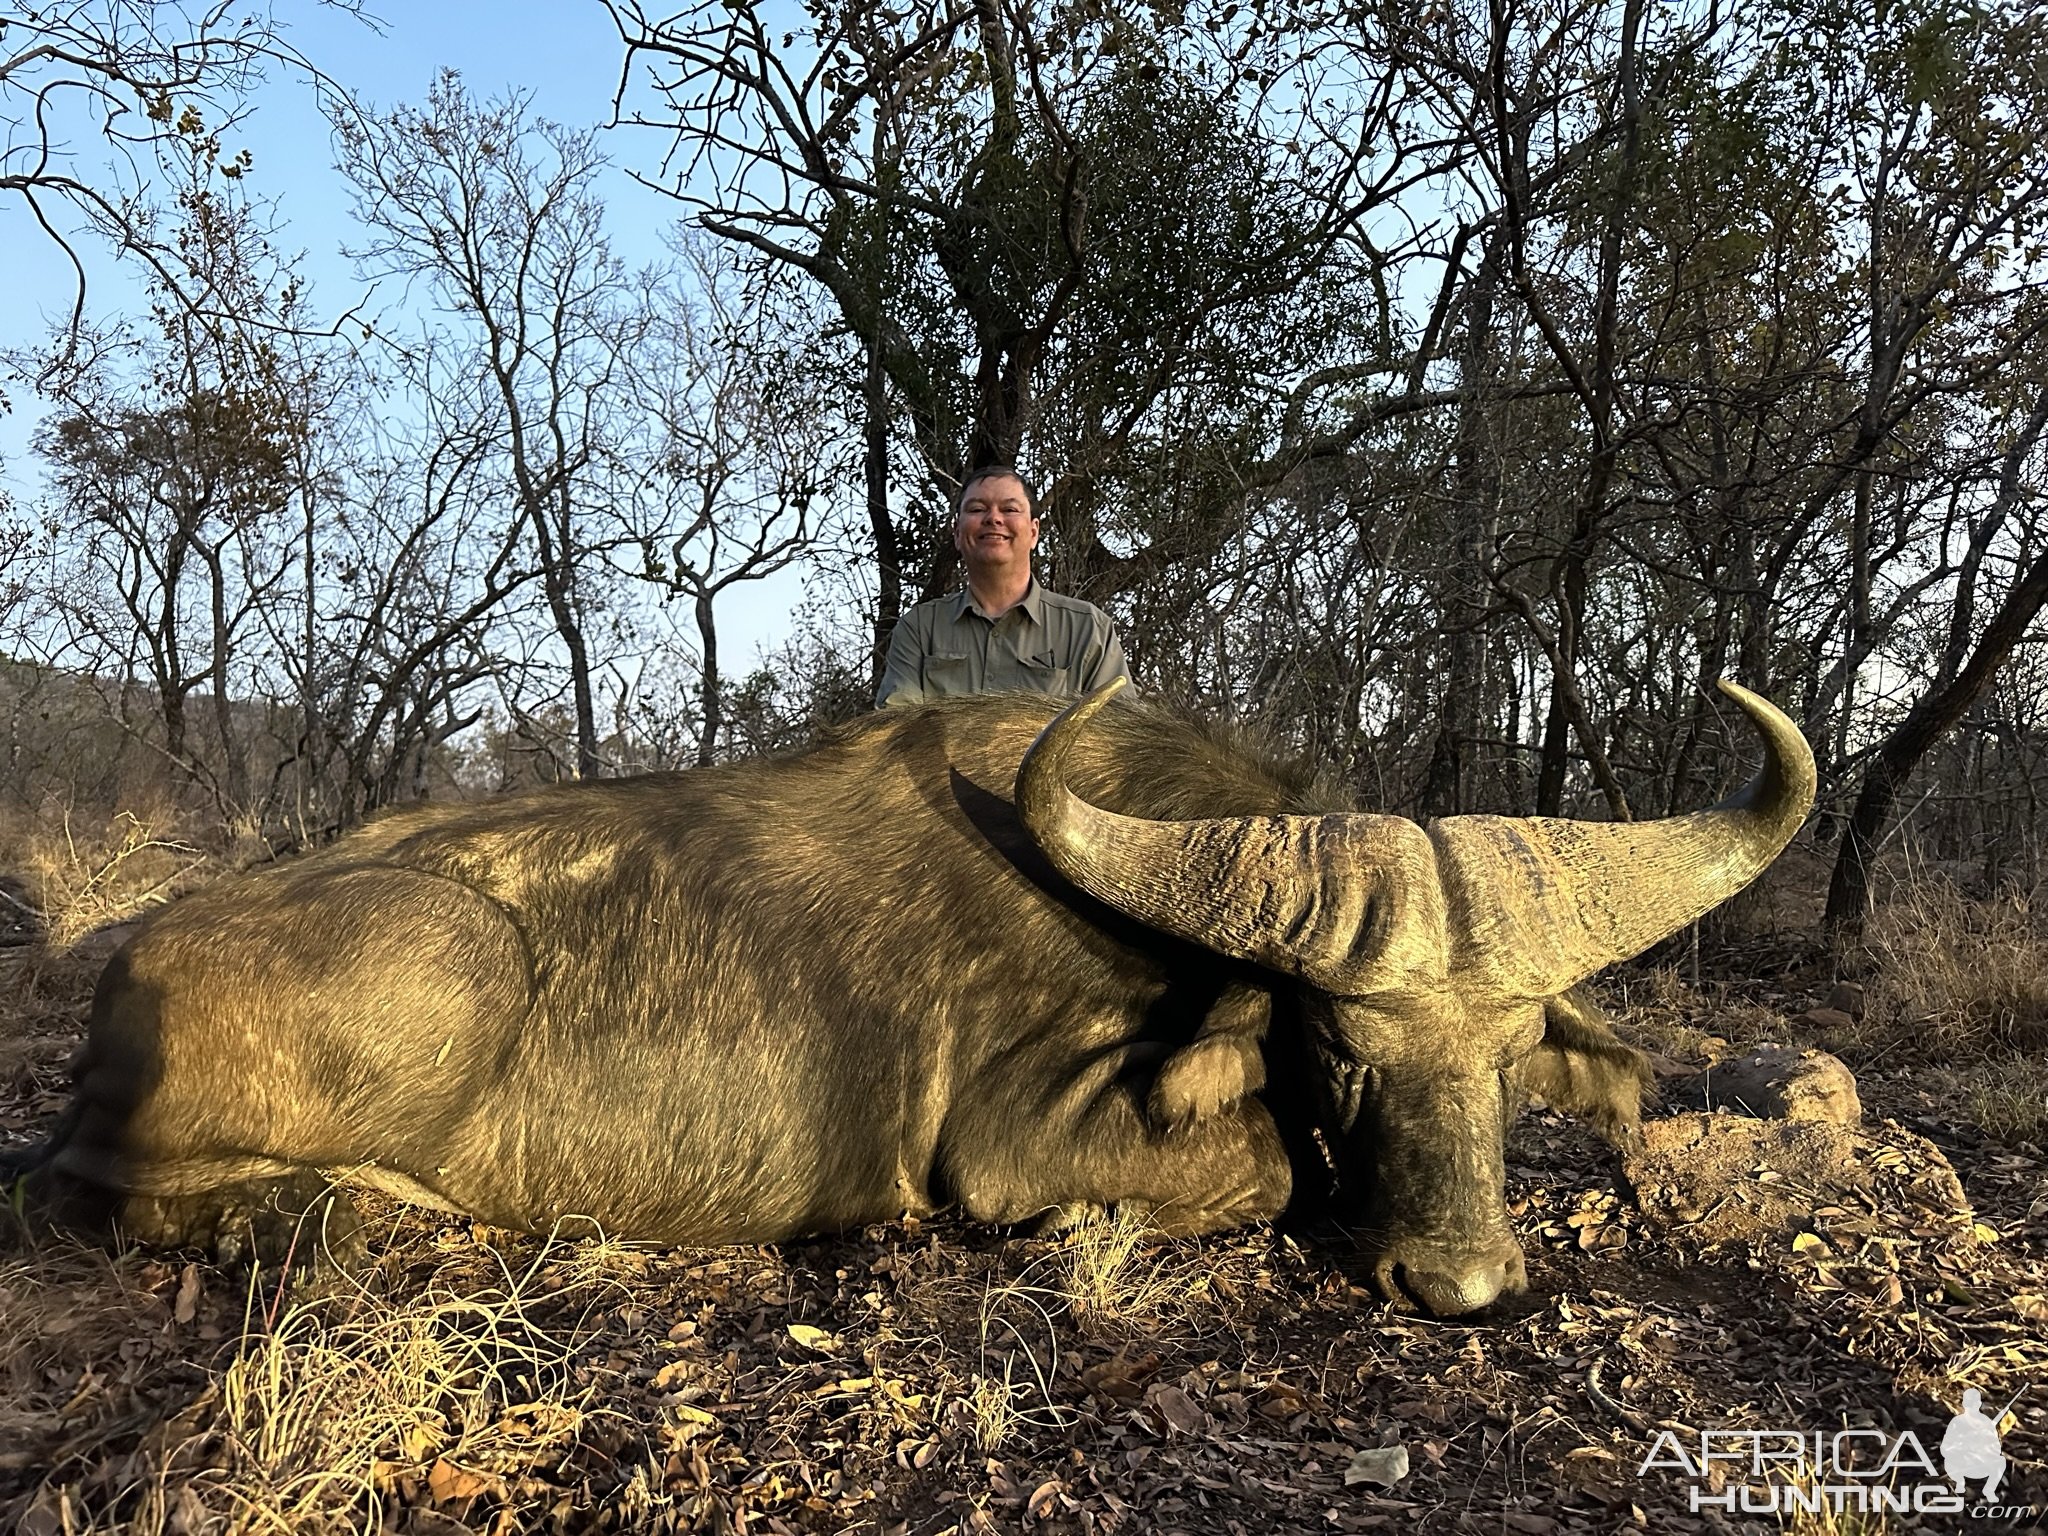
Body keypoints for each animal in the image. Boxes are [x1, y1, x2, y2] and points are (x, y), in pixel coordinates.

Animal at [4, 679, 1810, 1318]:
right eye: (1338, 1046)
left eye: (1506, 1058)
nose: (1462, 1281)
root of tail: (133, 972)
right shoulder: (1008, 1148)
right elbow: (1260, 1171)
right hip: (450, 967)